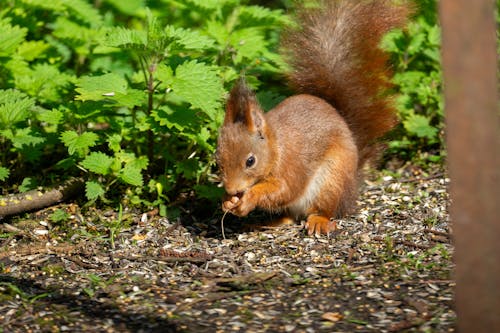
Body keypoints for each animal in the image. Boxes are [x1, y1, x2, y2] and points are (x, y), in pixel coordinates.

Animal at [217, 0, 412, 233]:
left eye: (250, 161)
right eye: (217, 161)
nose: (231, 188)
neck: (276, 149)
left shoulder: (292, 166)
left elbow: (284, 189)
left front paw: (248, 199)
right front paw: (227, 201)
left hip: (331, 181)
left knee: (323, 209)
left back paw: (319, 220)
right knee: (289, 215)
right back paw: (271, 222)